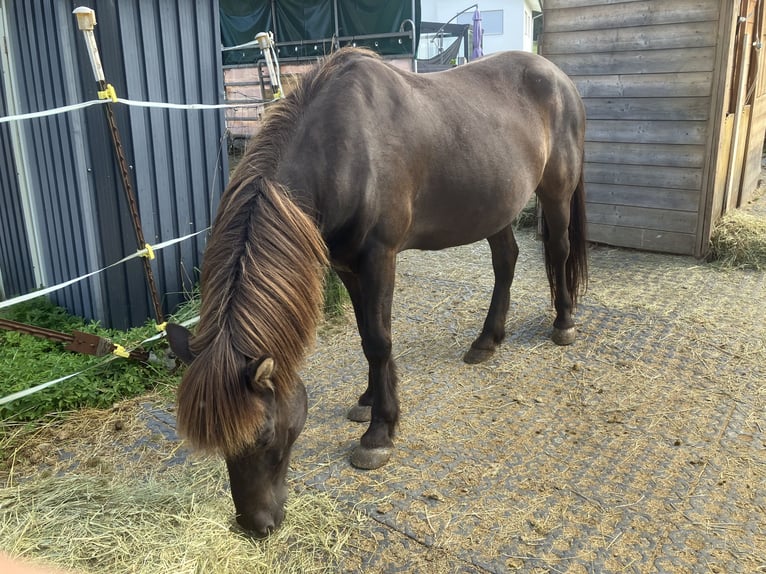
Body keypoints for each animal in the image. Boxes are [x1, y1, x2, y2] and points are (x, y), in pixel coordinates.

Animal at [166, 47, 588, 536]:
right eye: (217, 442)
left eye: (265, 434)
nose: (256, 524)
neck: (344, 149)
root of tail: (559, 77)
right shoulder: (347, 265)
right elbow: (366, 337)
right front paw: (368, 402)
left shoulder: (379, 258)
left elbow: (380, 340)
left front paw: (379, 434)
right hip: (496, 204)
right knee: (506, 261)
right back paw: (487, 341)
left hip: (556, 190)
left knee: (558, 250)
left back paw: (563, 322)